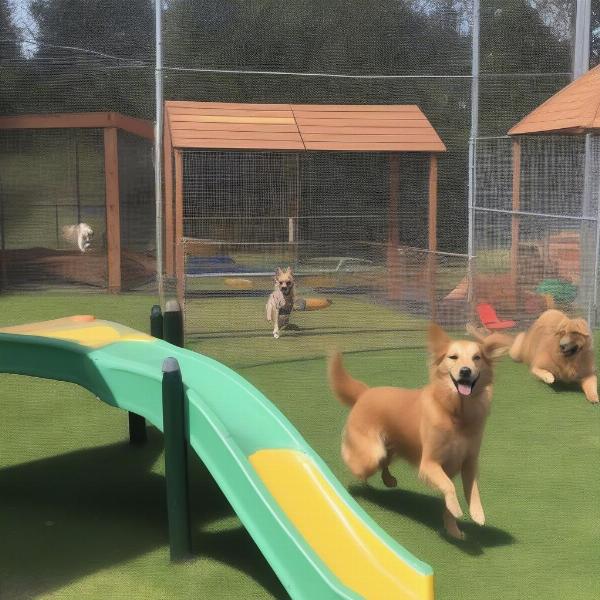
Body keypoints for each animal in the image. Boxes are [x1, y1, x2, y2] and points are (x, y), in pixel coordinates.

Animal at [328, 326, 506, 540]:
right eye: (453, 357)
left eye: (476, 358)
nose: (465, 370)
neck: (456, 413)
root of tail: (365, 392)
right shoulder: (429, 463)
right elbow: (449, 487)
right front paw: (457, 510)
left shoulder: (468, 463)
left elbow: (471, 491)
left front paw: (467, 520)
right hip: (371, 453)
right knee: (360, 460)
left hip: (393, 446)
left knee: (384, 462)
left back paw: (388, 480)